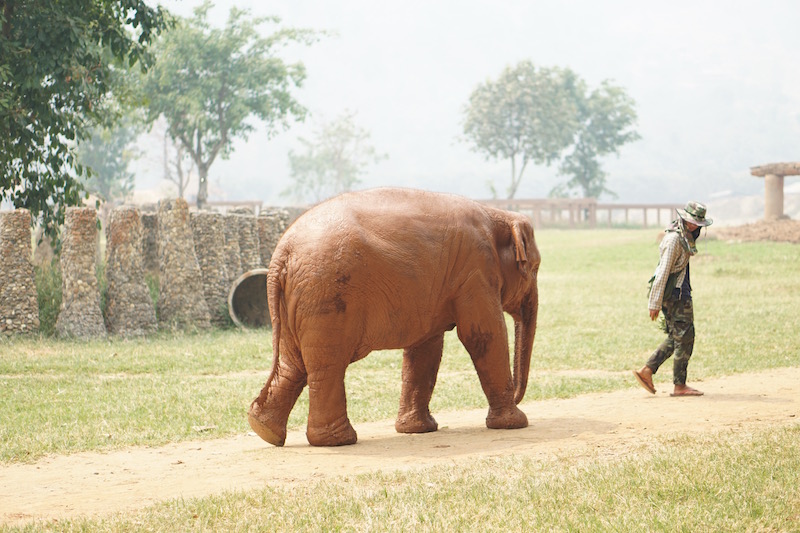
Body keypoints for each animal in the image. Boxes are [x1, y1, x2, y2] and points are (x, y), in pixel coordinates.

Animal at [247, 187, 540, 444]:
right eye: (535, 267)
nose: (518, 395)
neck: (496, 214)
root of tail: (282, 254)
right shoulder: (475, 270)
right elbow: (483, 334)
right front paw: (515, 423)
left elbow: (425, 348)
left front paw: (417, 430)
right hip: (325, 294)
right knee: (327, 364)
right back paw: (339, 441)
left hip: (297, 300)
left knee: (294, 364)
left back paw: (265, 430)